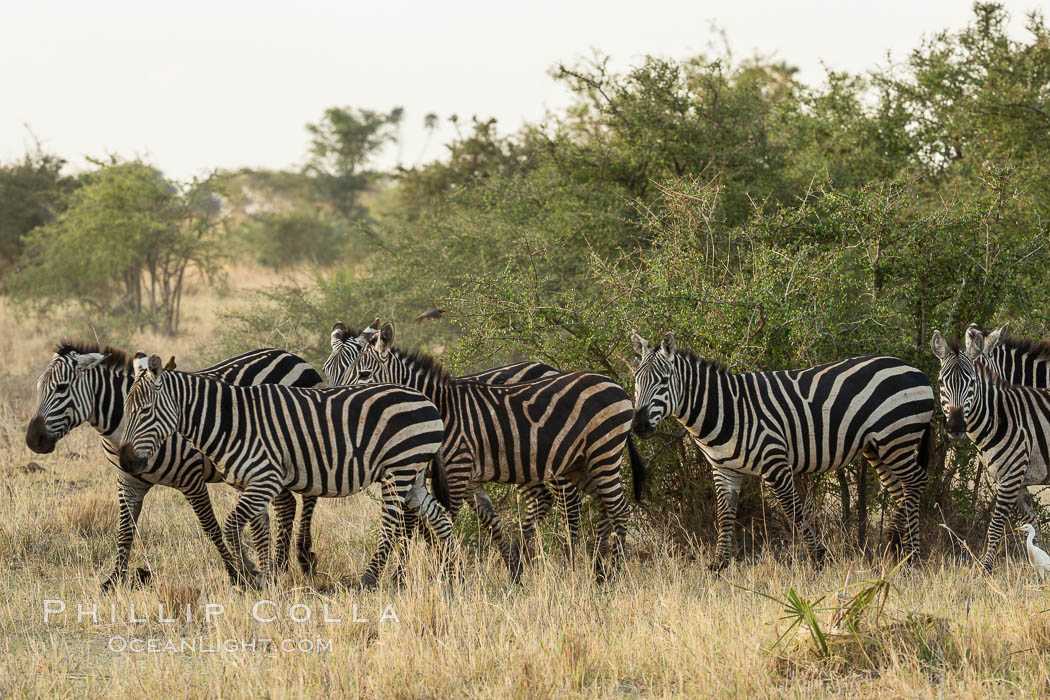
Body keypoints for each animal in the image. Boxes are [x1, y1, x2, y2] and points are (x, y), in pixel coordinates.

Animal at [27, 342, 323, 587]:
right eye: (39, 388)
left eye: (61, 388)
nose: (32, 440)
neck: (122, 429)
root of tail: (290, 355)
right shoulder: (128, 483)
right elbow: (125, 530)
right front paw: (113, 581)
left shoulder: (192, 479)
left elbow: (211, 528)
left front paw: (237, 575)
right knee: (286, 505)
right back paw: (280, 566)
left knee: (306, 496)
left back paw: (302, 558)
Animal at [118, 352, 455, 587]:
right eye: (125, 410)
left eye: (144, 411)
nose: (126, 463)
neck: (231, 421)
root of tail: (427, 400)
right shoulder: (252, 484)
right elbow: (260, 530)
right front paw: (266, 576)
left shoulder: (265, 480)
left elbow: (231, 525)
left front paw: (249, 572)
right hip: (413, 475)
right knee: (441, 521)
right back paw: (453, 577)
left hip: (400, 469)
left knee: (390, 525)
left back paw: (369, 581)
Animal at [325, 321, 646, 579]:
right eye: (328, 371)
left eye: (364, 374)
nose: (338, 403)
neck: (439, 408)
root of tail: (614, 383)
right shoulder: (461, 475)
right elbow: (478, 520)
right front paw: (511, 571)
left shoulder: (451, 471)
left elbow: (434, 522)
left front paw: (430, 575)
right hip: (578, 462)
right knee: (599, 505)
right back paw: (595, 566)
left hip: (593, 455)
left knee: (600, 506)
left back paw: (603, 570)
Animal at [630, 329, 936, 570]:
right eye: (636, 381)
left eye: (663, 382)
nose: (638, 425)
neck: (726, 409)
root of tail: (916, 370)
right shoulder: (723, 470)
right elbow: (725, 516)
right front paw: (718, 565)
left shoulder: (774, 463)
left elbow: (794, 511)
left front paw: (819, 558)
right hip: (879, 447)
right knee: (903, 490)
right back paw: (897, 550)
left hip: (895, 436)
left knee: (916, 481)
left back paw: (911, 555)